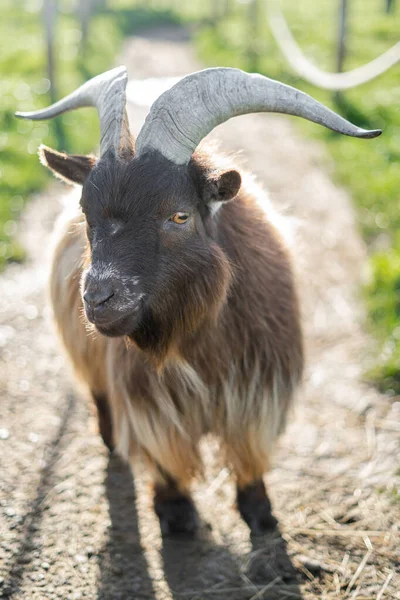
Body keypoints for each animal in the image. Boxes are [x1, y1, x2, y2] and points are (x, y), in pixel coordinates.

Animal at [16, 67, 382, 536]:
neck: (198, 343)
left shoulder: (255, 394)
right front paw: (175, 513)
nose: (98, 299)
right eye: (85, 212)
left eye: (179, 215)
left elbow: (248, 452)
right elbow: (166, 457)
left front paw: (260, 512)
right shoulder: (151, 405)